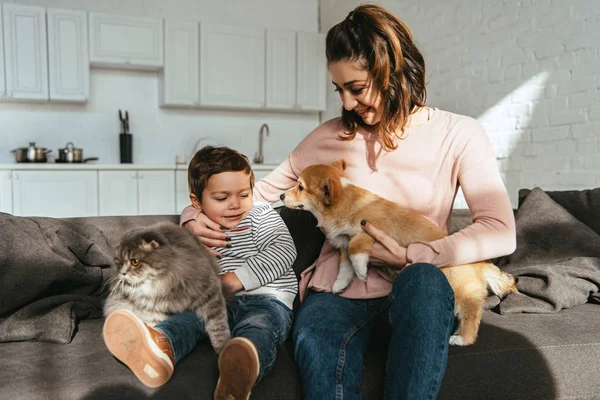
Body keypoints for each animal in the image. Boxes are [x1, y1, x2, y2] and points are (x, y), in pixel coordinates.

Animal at [103, 223, 230, 352]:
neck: (159, 284)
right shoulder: (154, 311)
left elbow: (218, 326)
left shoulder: (209, 292)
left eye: (135, 262)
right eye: (119, 262)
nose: (122, 273)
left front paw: (222, 348)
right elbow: (155, 324)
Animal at [282, 159, 516, 346]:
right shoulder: (344, 243)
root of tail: (480, 263)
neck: (344, 203)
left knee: (471, 313)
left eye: (300, 187)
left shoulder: (367, 232)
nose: (282, 195)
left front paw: (362, 271)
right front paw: (340, 284)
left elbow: (356, 248)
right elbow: (344, 265)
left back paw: (462, 338)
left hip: (460, 290)